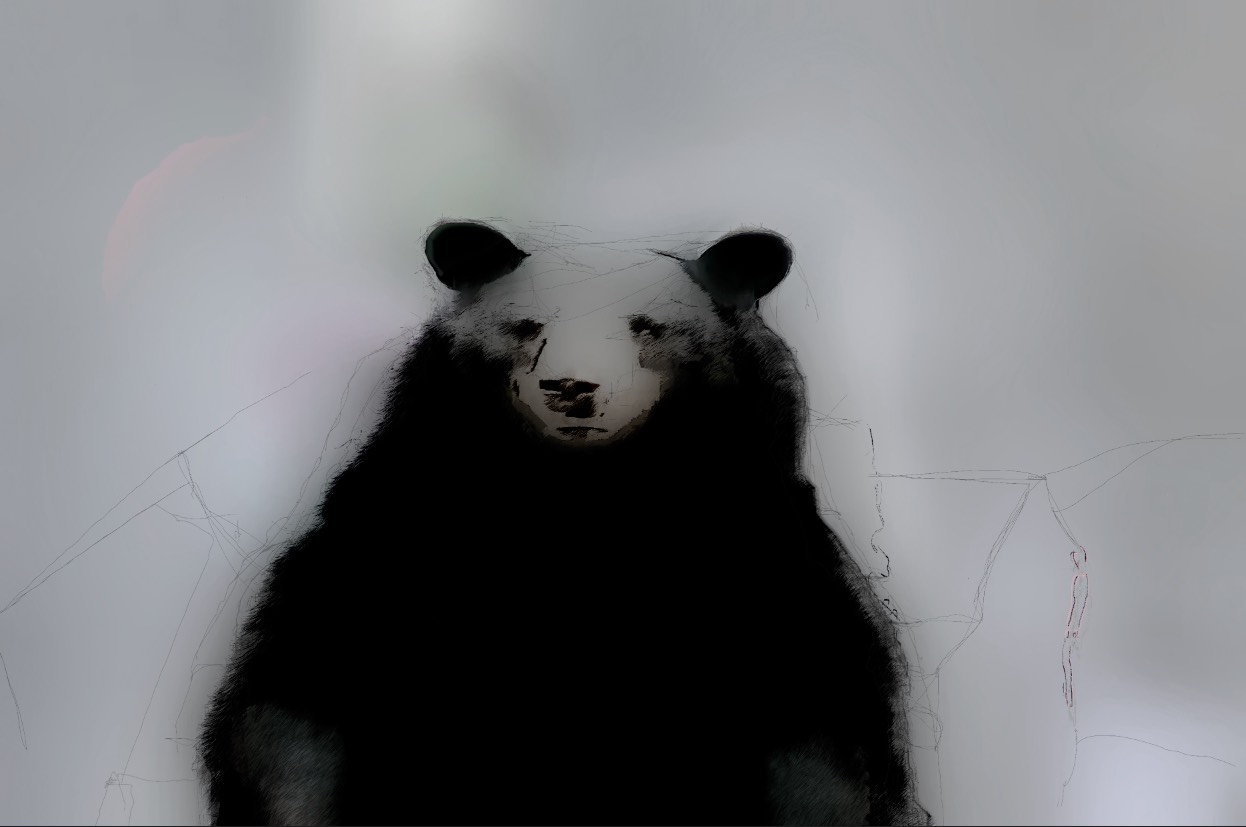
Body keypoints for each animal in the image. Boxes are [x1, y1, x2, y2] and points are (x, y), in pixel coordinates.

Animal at [198, 219, 930, 826]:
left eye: (646, 326)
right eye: (527, 326)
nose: (572, 388)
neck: (581, 490)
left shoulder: (757, 544)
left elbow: (818, 722)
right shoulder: (401, 521)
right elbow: (301, 694)